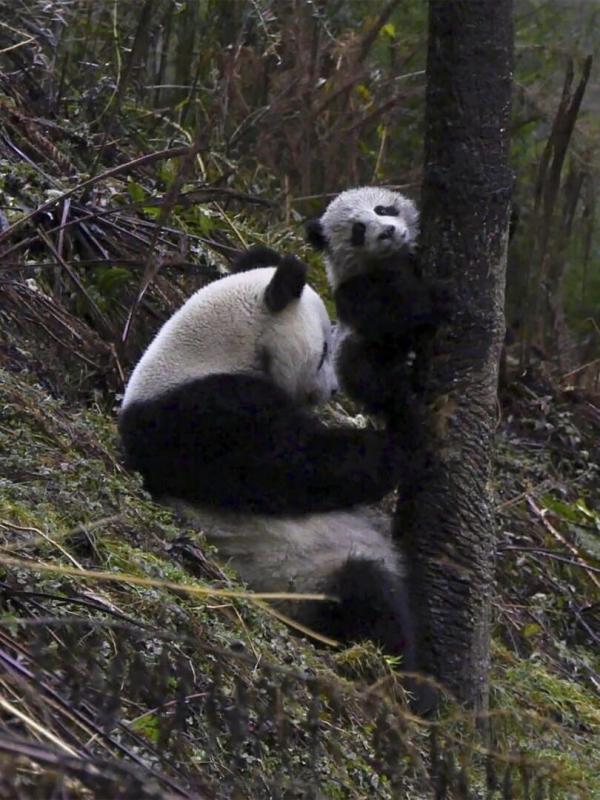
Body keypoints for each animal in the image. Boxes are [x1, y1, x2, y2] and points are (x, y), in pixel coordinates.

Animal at [119, 248, 414, 663]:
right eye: (324, 351)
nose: (334, 390)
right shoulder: (202, 415)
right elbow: (295, 468)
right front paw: (399, 440)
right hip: (299, 579)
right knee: (368, 596)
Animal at [307, 186, 449, 422]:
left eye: (381, 209)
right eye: (358, 230)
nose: (387, 232)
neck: (390, 260)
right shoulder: (354, 290)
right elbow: (388, 319)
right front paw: (434, 297)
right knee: (362, 367)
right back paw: (405, 399)